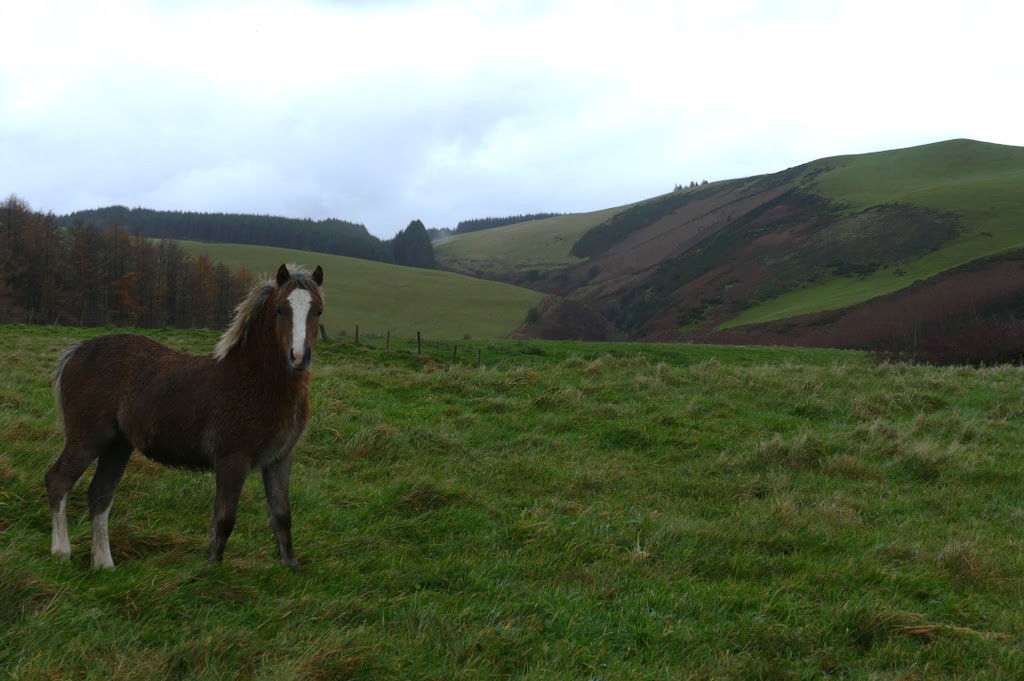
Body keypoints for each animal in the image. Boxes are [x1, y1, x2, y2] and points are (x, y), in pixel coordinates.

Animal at [46, 263, 324, 569]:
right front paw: (210, 569)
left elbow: (282, 514)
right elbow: (224, 518)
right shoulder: (232, 459)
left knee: (100, 494)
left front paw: (291, 567)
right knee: (58, 480)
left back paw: (104, 563)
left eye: (318, 311)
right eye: (280, 310)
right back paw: (61, 552)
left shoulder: (279, 458)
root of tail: (76, 351)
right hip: (87, 439)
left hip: (118, 445)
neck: (258, 382)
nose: (298, 357)